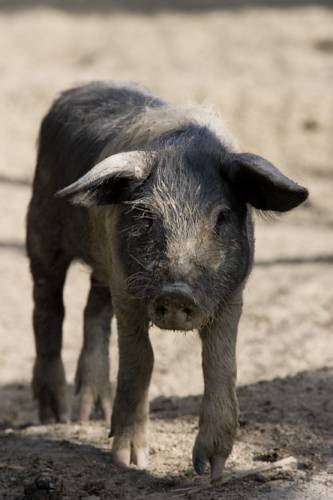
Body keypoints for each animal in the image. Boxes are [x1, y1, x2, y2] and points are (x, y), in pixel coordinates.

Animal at [26, 81, 308, 480]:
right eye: (147, 217)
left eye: (221, 217)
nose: (177, 293)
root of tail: (77, 88)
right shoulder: (127, 291)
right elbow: (140, 359)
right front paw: (130, 462)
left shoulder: (233, 293)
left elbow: (221, 363)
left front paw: (210, 469)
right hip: (40, 227)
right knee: (48, 305)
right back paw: (57, 417)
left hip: (103, 265)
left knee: (92, 308)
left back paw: (89, 413)